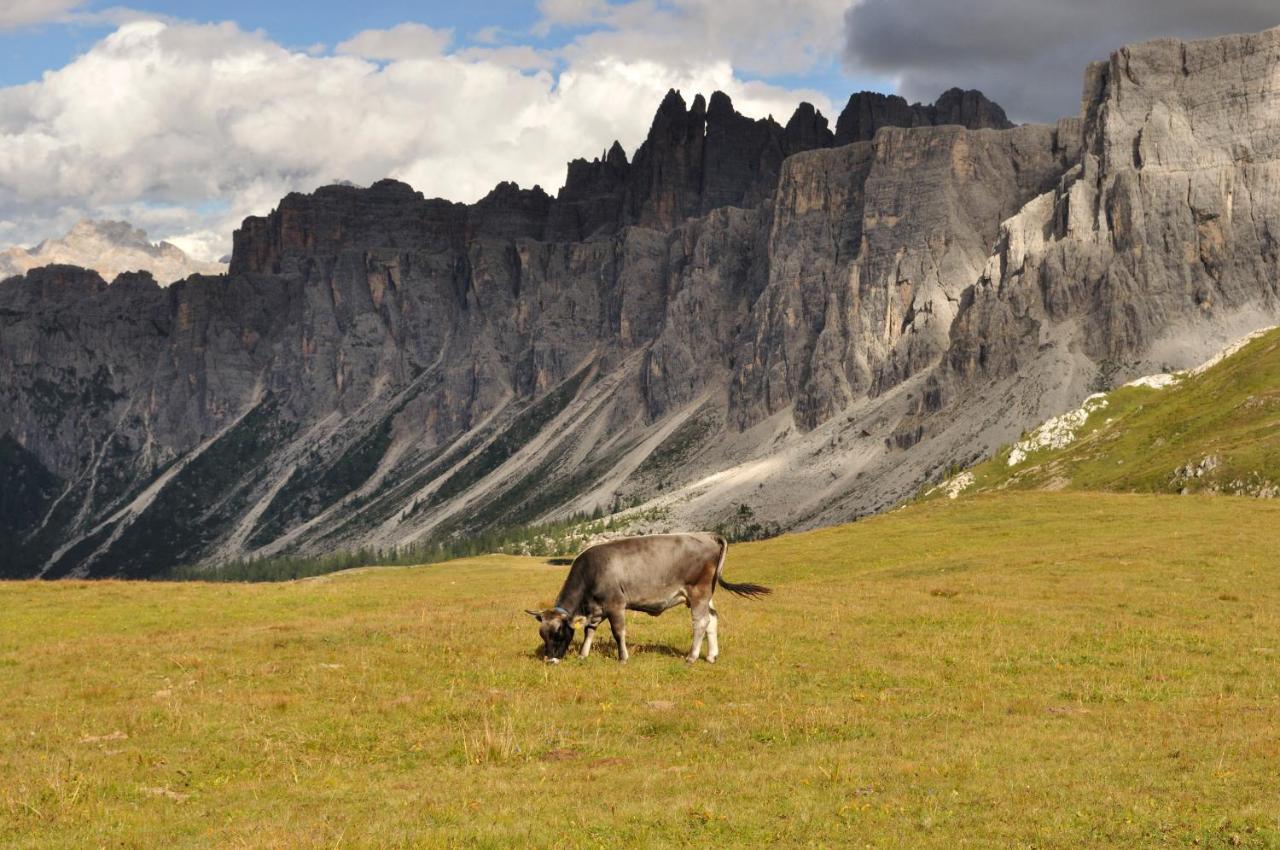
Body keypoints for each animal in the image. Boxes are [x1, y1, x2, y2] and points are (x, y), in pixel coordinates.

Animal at [522, 532, 762, 665]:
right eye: (542, 634)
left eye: (559, 632)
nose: (550, 659)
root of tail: (709, 535)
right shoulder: (596, 609)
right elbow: (589, 631)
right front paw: (583, 655)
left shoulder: (616, 604)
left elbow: (618, 632)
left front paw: (623, 657)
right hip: (706, 595)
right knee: (712, 618)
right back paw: (711, 656)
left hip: (698, 592)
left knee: (701, 622)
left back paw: (692, 657)